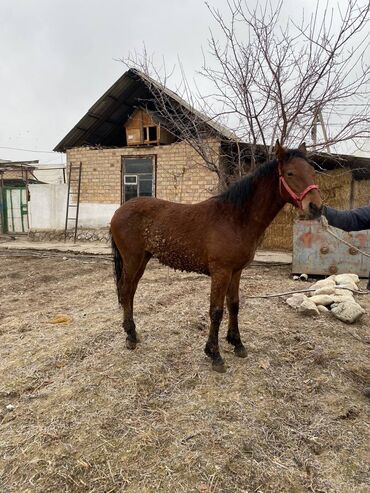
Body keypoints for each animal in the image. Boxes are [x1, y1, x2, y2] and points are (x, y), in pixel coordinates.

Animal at [110, 140, 320, 370]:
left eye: (312, 171)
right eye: (290, 173)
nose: (316, 207)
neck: (235, 218)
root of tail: (119, 211)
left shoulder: (236, 271)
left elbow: (234, 305)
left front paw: (237, 343)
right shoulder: (221, 272)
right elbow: (216, 311)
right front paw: (214, 354)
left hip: (142, 260)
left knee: (130, 291)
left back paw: (132, 332)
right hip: (132, 259)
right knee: (126, 290)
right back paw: (130, 336)